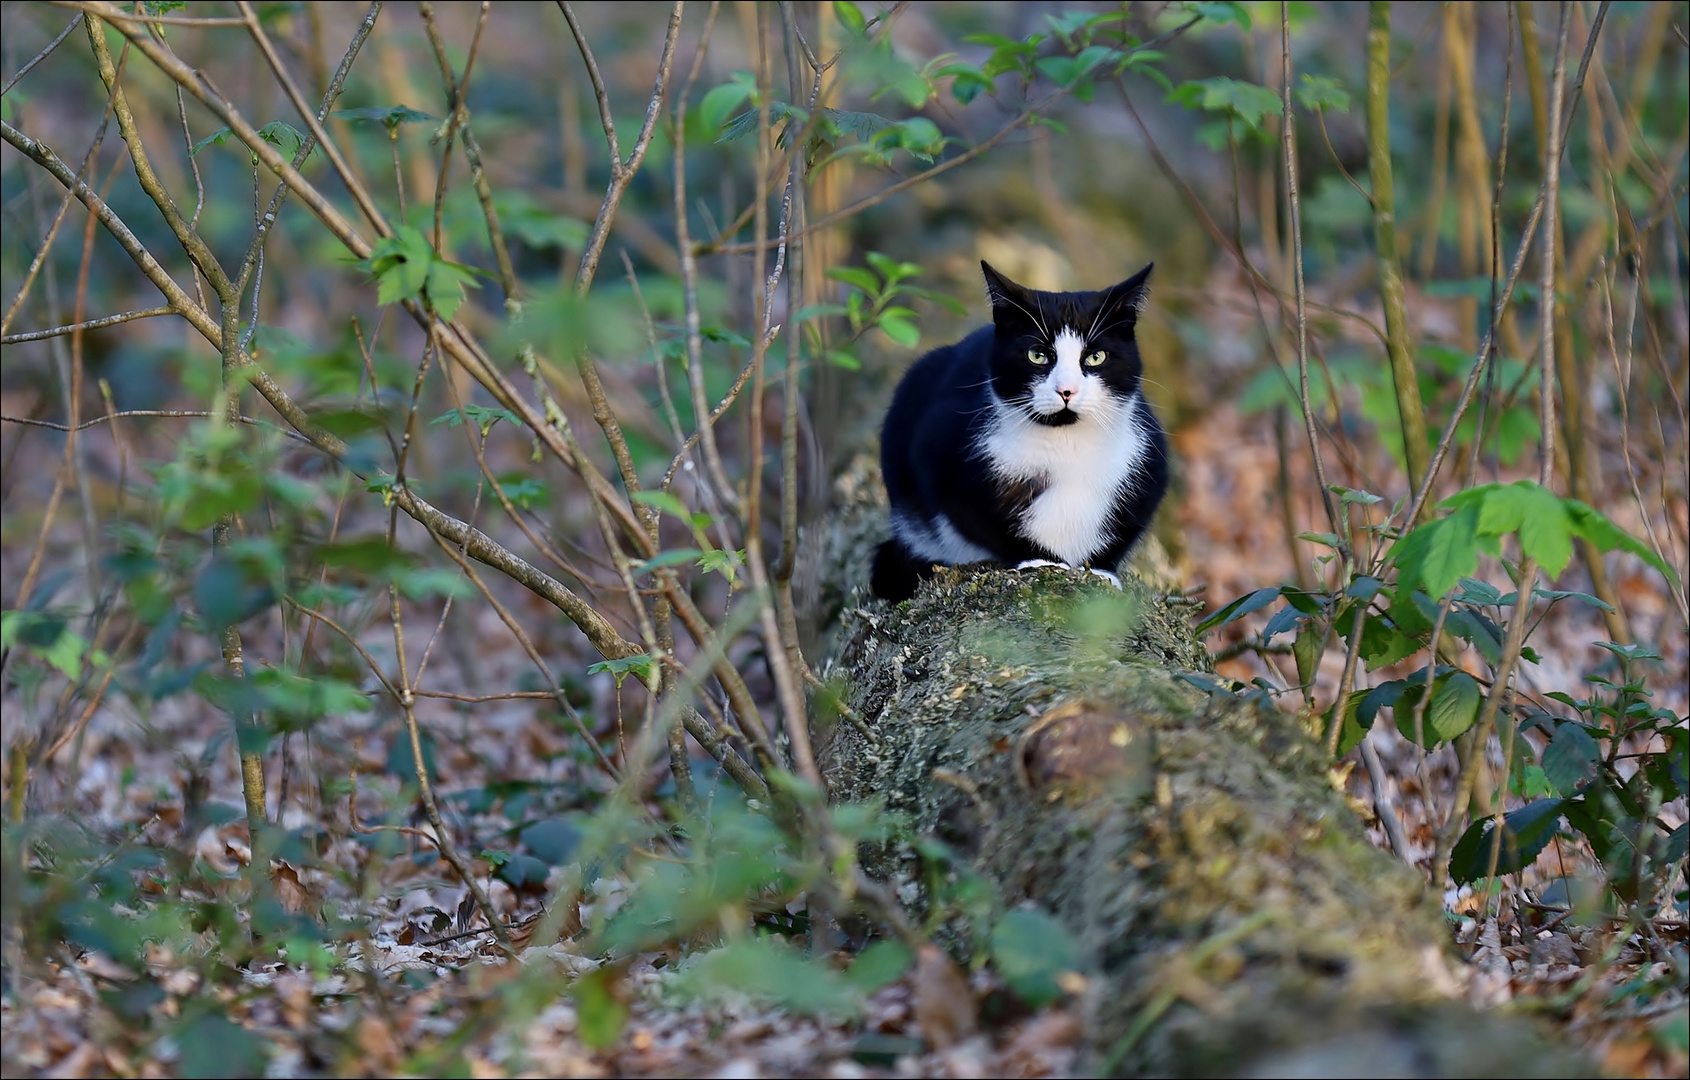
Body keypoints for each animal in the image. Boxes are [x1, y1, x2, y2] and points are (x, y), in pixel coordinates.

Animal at [865, 260, 1169, 601]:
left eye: (1095, 356)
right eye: (1037, 355)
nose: (1066, 390)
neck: (1066, 445)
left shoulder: (1147, 456)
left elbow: (1128, 524)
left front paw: (1102, 570)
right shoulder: (939, 447)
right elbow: (976, 516)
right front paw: (1041, 560)